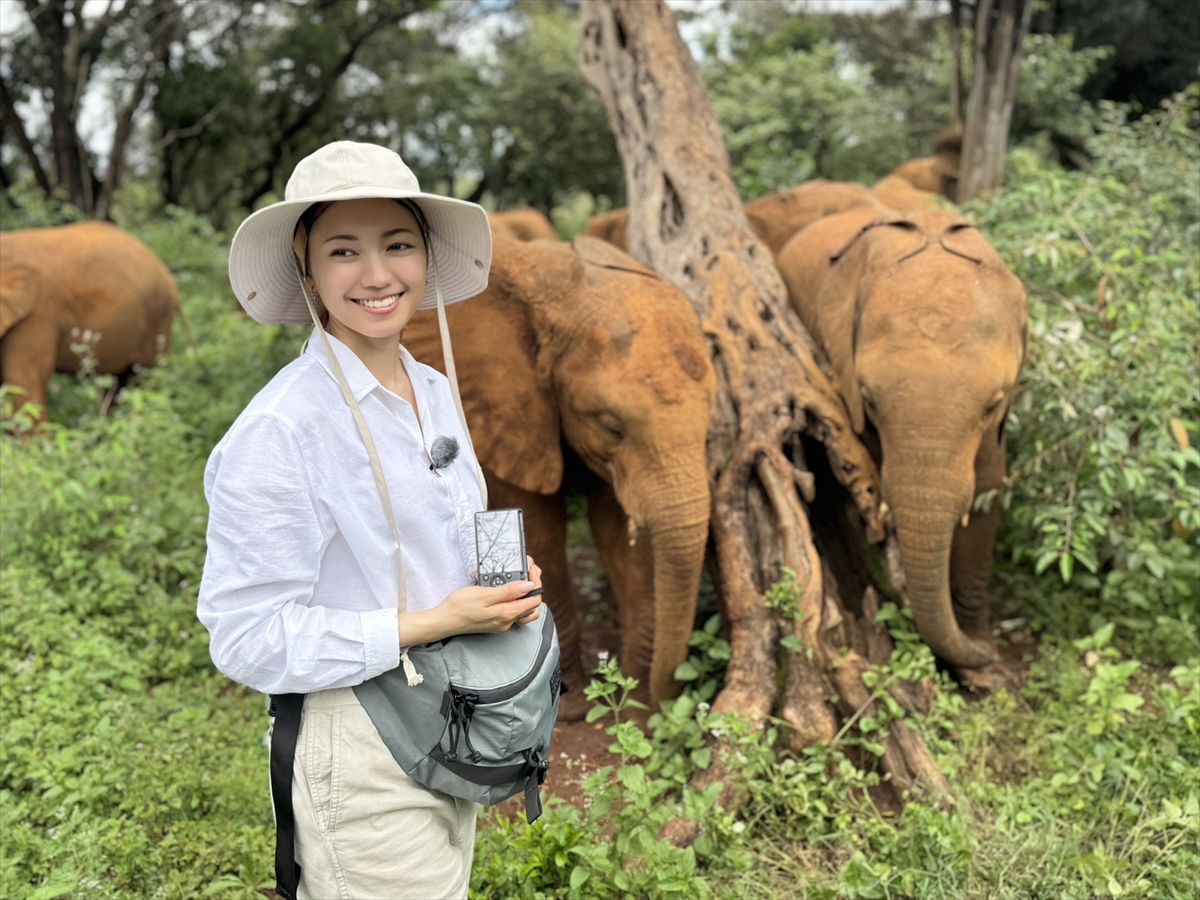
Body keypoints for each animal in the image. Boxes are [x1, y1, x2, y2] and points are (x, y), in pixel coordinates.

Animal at [408, 232, 715, 720]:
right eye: (611, 426)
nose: (660, 704)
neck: (564, 301)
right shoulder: (502, 418)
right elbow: (543, 528)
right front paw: (569, 704)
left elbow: (614, 532)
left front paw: (628, 700)